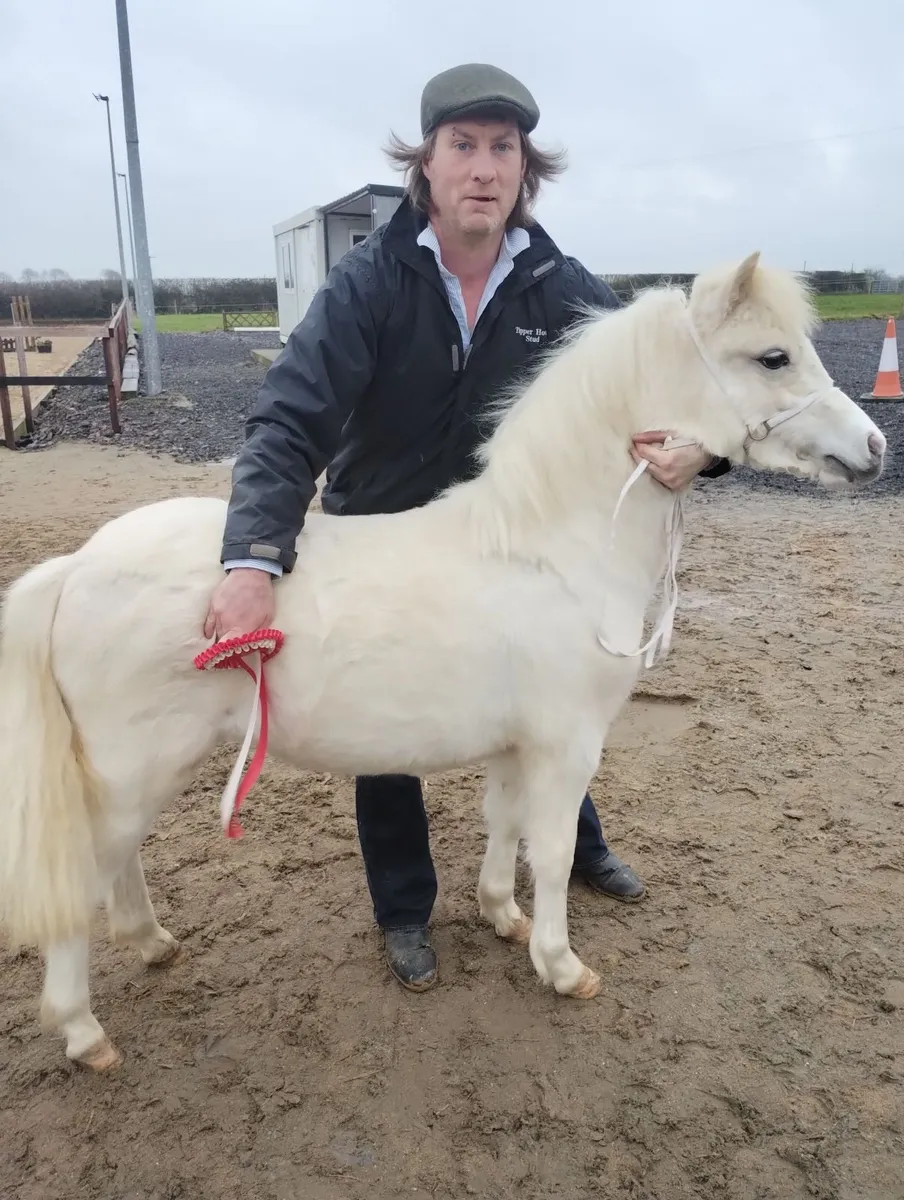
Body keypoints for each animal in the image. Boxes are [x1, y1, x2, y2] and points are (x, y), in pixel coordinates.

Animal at [0, 251, 886, 1073]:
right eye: (773, 357)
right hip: (132, 772)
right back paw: (83, 1032)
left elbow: (506, 826)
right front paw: (562, 966)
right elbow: (553, 850)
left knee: (117, 868)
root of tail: (75, 568)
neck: (550, 551)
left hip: (143, 776)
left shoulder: (517, 746)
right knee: (81, 877)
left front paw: (502, 917)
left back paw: (153, 943)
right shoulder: (568, 746)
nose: (874, 446)